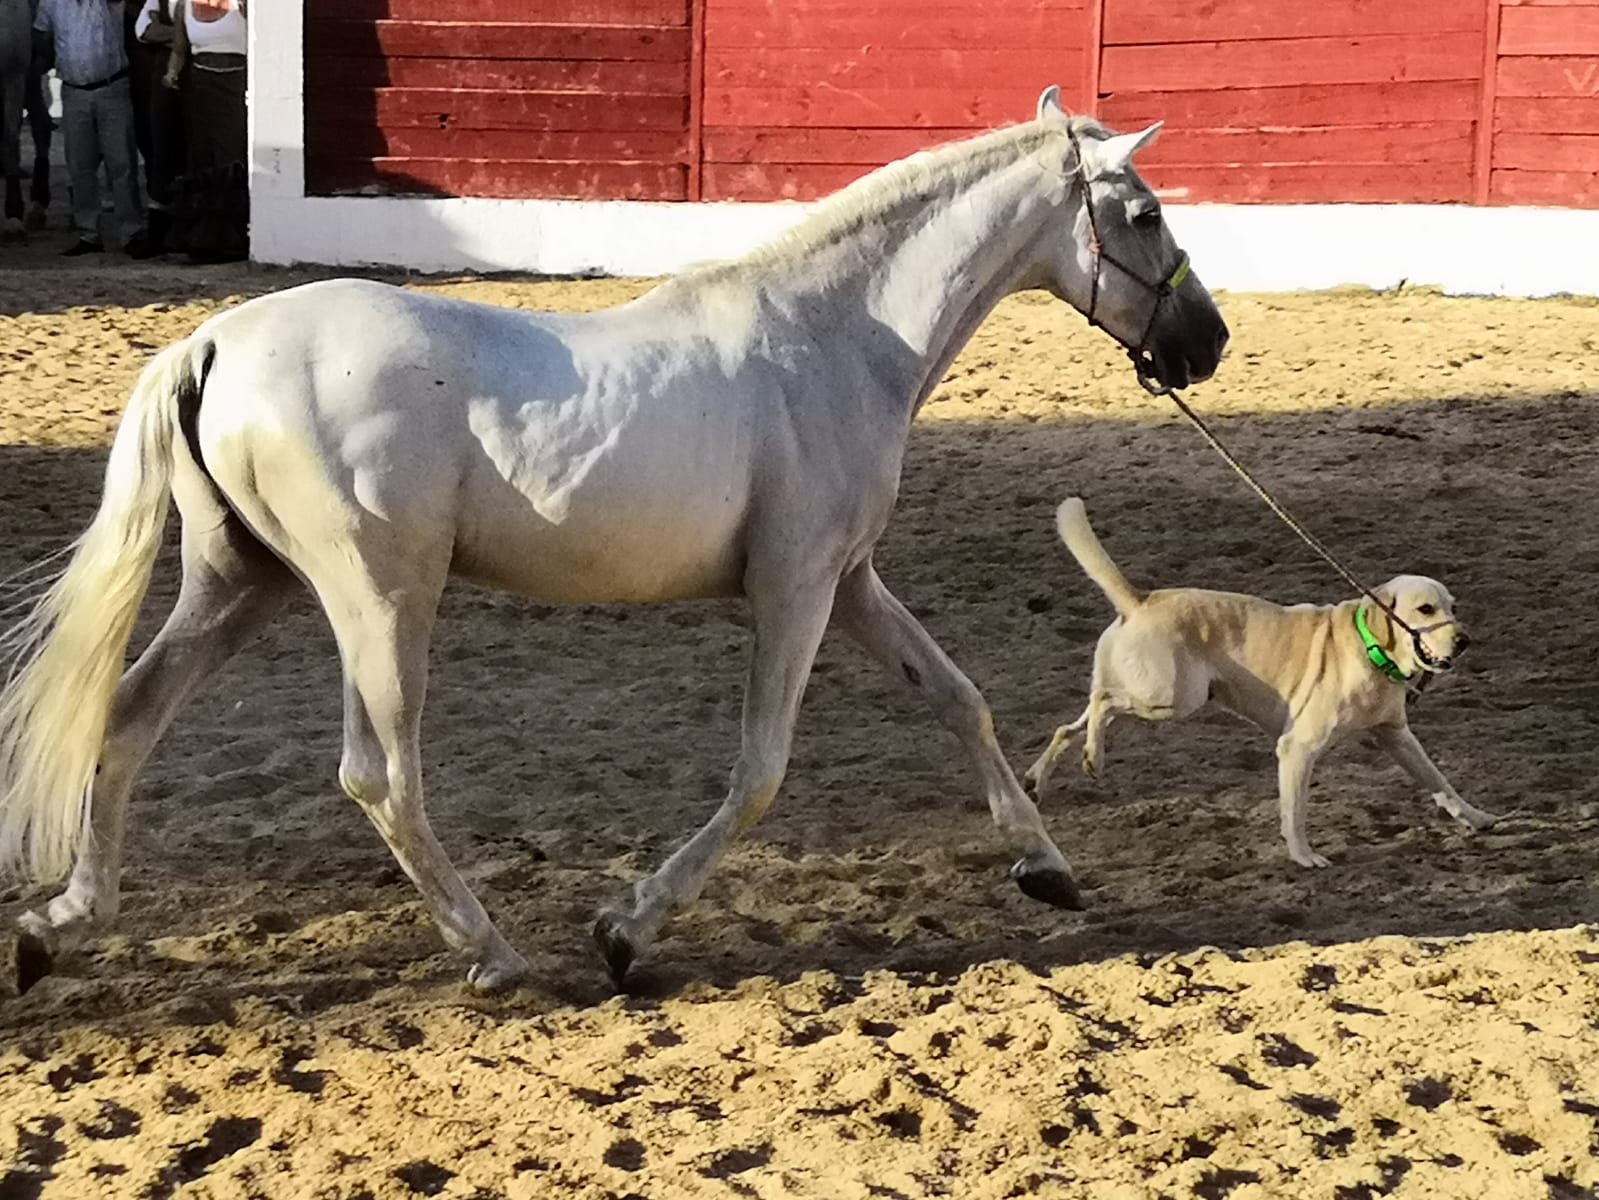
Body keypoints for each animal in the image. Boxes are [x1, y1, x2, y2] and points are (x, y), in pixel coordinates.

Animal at [0, 89, 1221, 998]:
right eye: (1144, 213)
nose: (1204, 343)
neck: (831, 338)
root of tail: (215, 340)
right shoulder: (793, 590)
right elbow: (761, 770)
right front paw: (626, 931)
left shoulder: (849, 582)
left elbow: (959, 700)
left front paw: (1046, 868)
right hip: (378, 600)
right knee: (378, 775)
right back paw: (494, 955)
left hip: (241, 583)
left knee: (129, 716)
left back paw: (58, 925)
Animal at [1023, 496, 1496, 864]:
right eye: (1425, 609)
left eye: (1453, 606)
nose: (1465, 640)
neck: (1370, 649)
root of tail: (1139, 600)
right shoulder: (1298, 748)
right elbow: (1295, 811)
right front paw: (1304, 856)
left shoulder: (1396, 736)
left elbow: (1440, 782)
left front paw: (1477, 817)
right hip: (1174, 696)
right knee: (1102, 703)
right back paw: (1093, 758)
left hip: (1150, 691)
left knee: (1070, 725)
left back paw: (1041, 779)